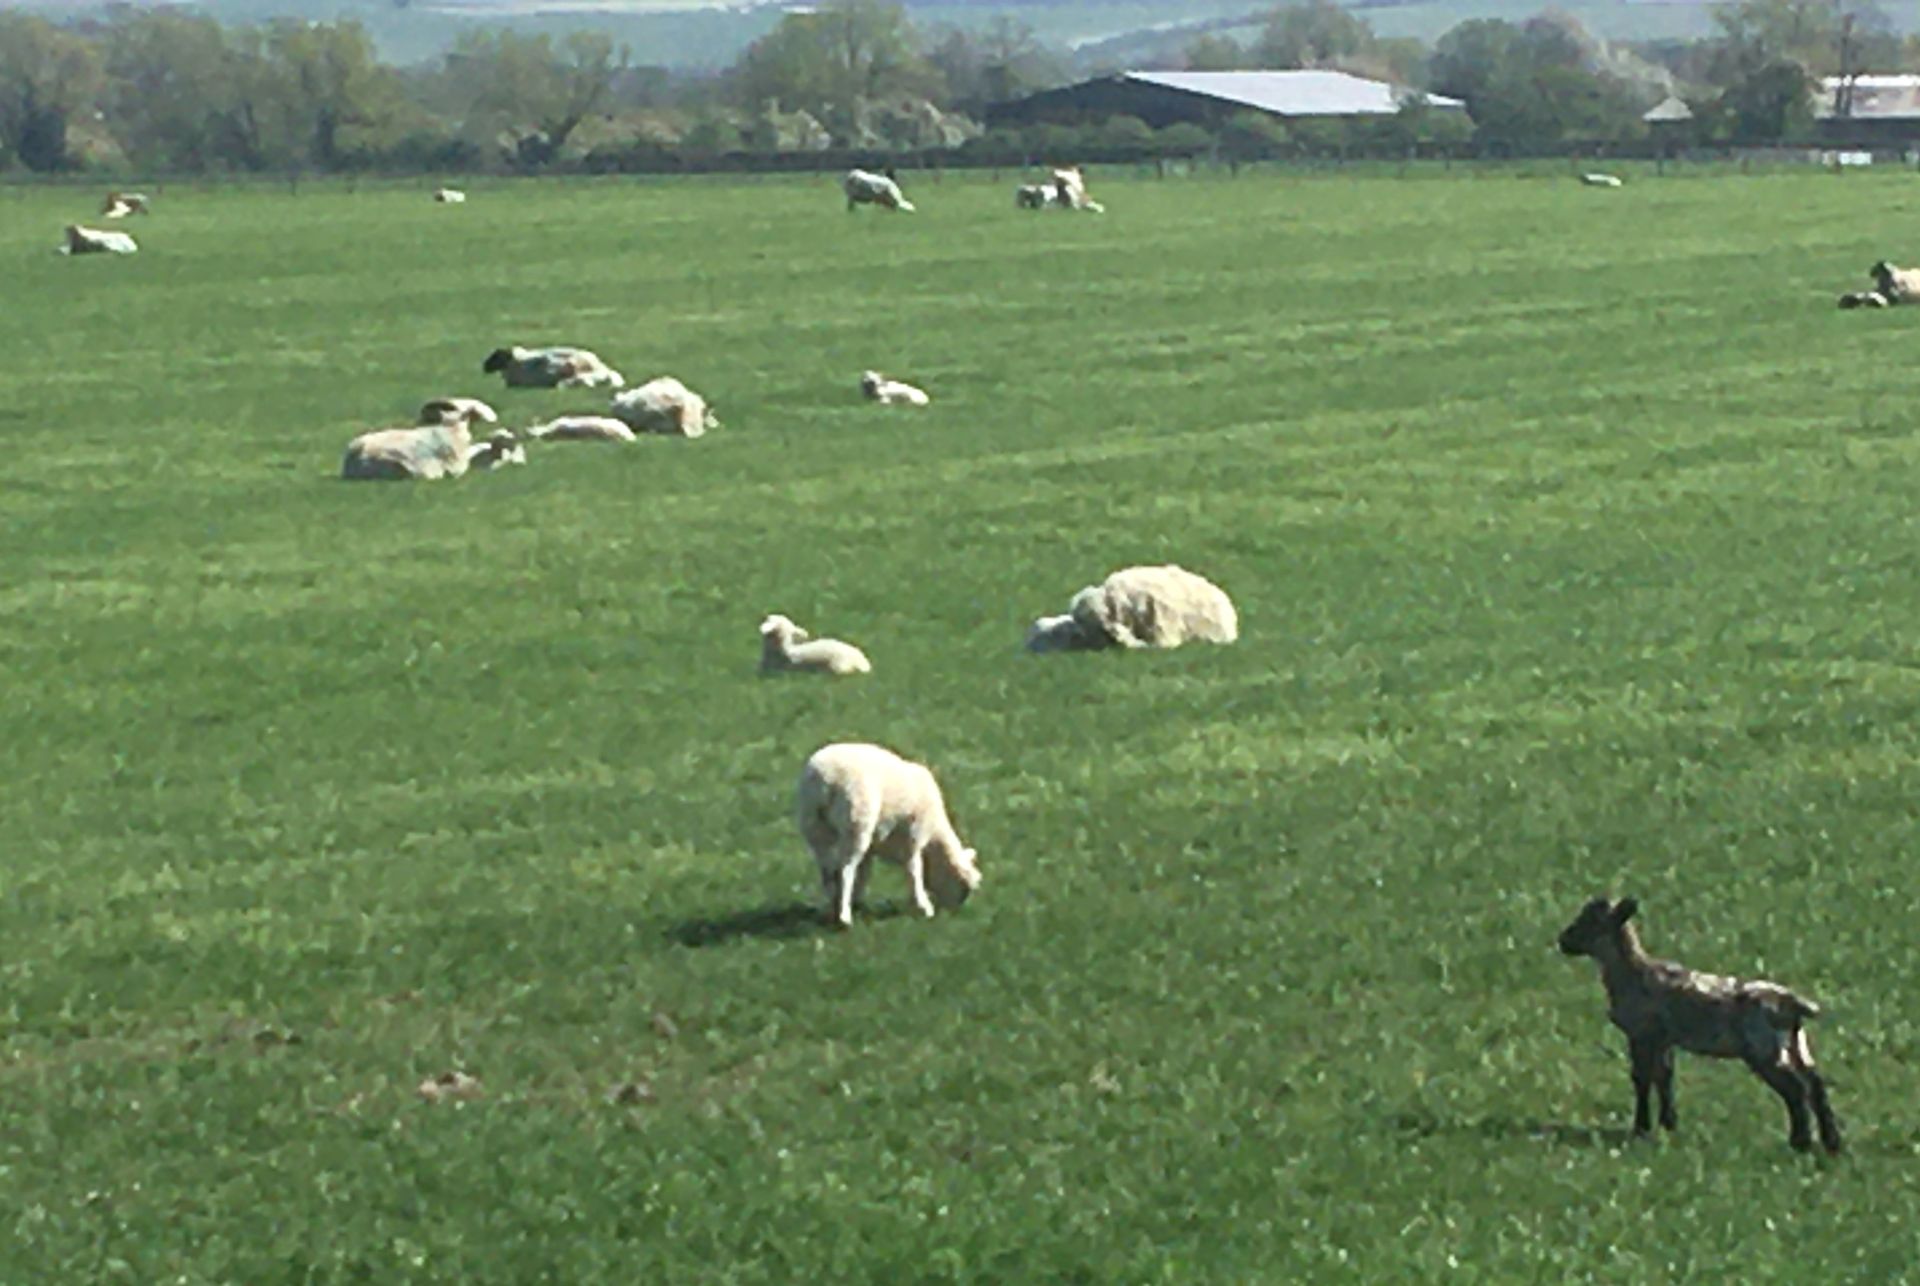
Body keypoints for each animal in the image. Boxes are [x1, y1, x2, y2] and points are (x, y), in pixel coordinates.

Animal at [795, 742, 981, 928]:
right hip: (856, 821)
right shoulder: (913, 837)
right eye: (965, 888)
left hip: (815, 825)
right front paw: (923, 907)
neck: (934, 838)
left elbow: (864, 872)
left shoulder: (873, 847)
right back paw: (844, 917)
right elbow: (914, 869)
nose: (952, 913)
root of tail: (825, 778)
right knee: (845, 870)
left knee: (827, 871)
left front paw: (857, 902)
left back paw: (834, 908)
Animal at [1558, 896, 1843, 1154]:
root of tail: (1791, 1003)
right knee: (1815, 1084)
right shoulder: (1663, 1039)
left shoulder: (1641, 1034)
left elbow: (1641, 1078)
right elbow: (1664, 1077)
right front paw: (1668, 1124)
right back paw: (1832, 1142)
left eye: (1592, 922)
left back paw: (1800, 1142)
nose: (1563, 941)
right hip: (1796, 1043)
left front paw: (1641, 1128)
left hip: (1764, 1048)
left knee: (1796, 1089)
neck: (1631, 973)